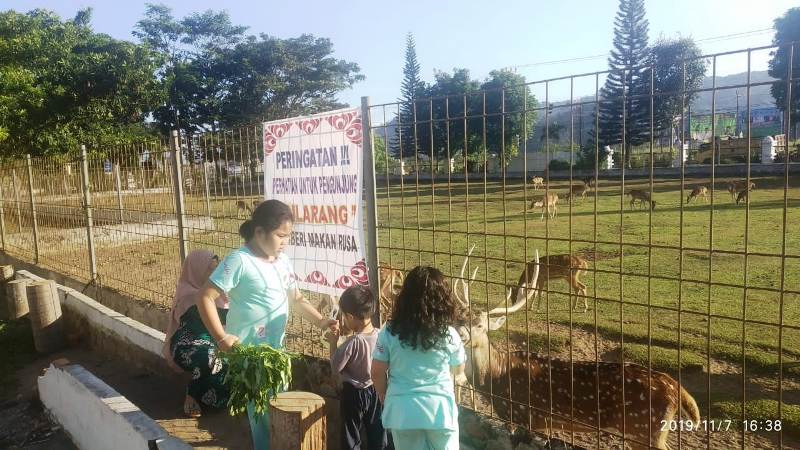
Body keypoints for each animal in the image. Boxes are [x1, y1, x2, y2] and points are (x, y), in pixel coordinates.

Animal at [450, 248, 700, 448]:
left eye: (480, 325)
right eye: (459, 320)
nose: (458, 336)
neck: (496, 378)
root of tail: (677, 389)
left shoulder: (527, 417)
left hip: (644, 429)